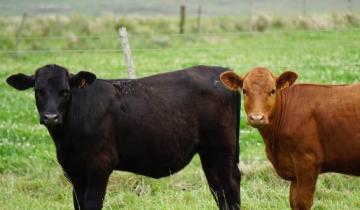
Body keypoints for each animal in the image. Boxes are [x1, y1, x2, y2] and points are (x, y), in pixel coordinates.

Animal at [5, 64, 240, 210]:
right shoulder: (72, 169)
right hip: (211, 153)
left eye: (65, 91)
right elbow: (78, 203)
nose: (51, 117)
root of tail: (219, 70)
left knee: (228, 186)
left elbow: (92, 203)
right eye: (38, 91)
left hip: (220, 148)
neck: (67, 140)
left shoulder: (100, 164)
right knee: (219, 188)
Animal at [221, 67, 360, 210]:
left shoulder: (307, 162)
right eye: (244, 90)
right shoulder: (294, 174)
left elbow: (303, 203)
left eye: (273, 90)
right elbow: (294, 202)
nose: (257, 118)